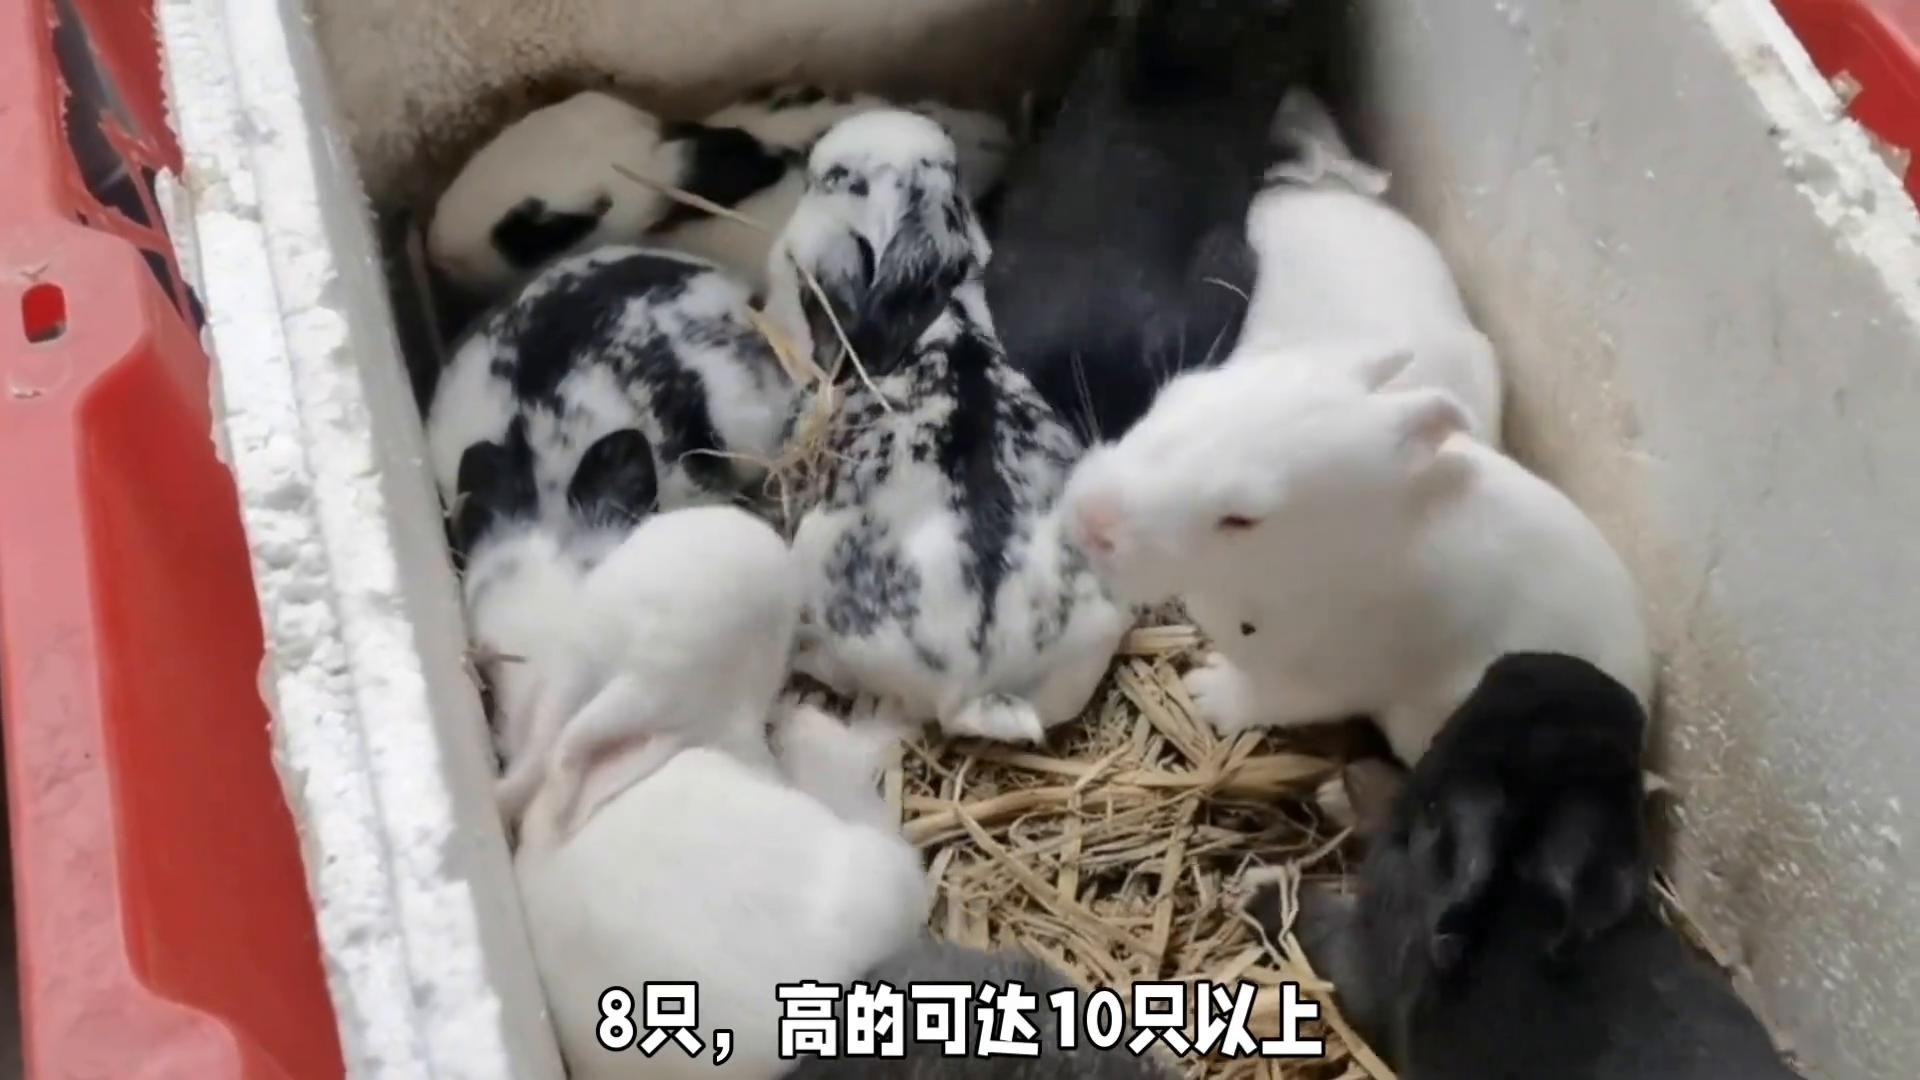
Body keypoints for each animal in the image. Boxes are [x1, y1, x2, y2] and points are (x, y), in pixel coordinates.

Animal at [1062, 343, 1653, 765]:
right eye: (1176, 392)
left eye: (1242, 519)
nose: (1088, 518)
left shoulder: (1332, 676)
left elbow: (1269, 696)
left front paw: (1207, 692)